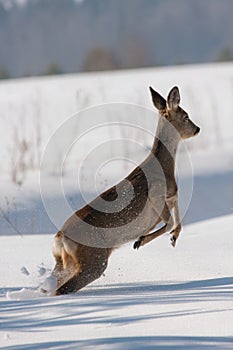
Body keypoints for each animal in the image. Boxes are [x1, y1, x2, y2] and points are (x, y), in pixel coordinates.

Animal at [50, 86, 199, 294]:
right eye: (185, 116)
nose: (197, 129)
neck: (164, 167)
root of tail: (60, 238)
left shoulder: (171, 195)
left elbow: (177, 220)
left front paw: (173, 239)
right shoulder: (156, 194)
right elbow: (169, 222)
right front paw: (139, 241)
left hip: (64, 263)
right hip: (93, 261)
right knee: (62, 289)